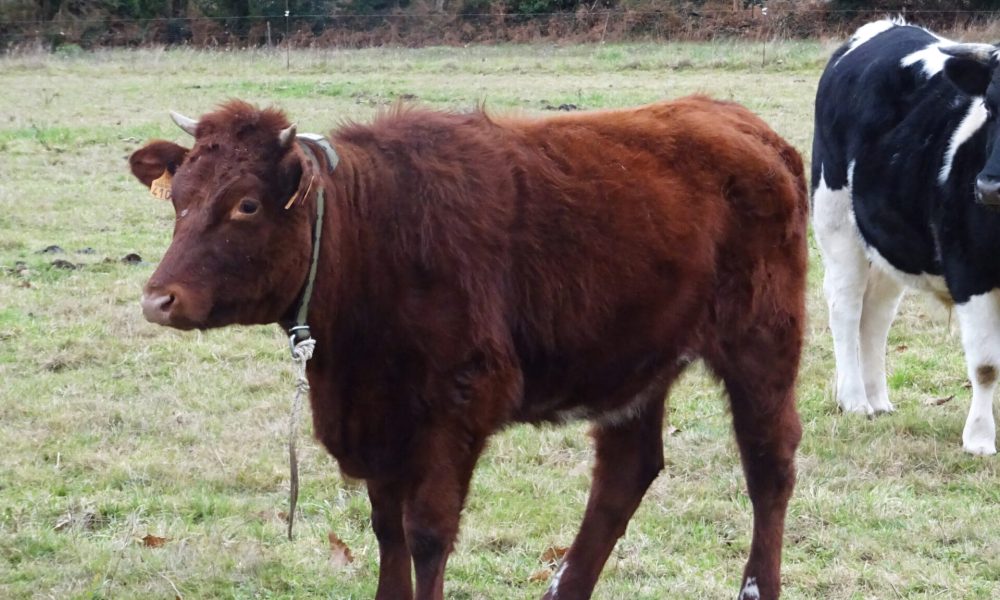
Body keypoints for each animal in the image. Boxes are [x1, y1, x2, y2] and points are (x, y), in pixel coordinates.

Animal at [128, 97, 808, 600]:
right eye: (180, 198)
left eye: (245, 204)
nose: (158, 299)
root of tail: (735, 119)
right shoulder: (382, 419)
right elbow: (388, 531)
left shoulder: (454, 406)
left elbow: (427, 532)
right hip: (635, 359)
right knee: (625, 473)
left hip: (762, 342)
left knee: (769, 464)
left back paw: (758, 586)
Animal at [812, 18, 1000, 456]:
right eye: (990, 106)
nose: (988, 187)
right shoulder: (971, 271)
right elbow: (986, 366)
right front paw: (980, 440)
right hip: (835, 222)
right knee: (846, 308)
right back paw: (854, 400)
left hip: (888, 245)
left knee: (876, 316)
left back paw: (877, 398)